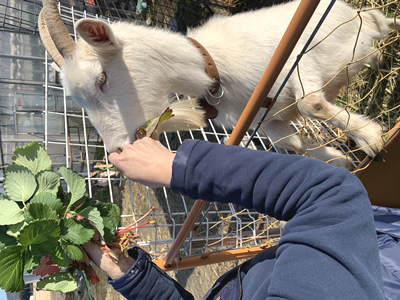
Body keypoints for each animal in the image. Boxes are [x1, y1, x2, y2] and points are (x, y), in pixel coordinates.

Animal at [39, 0, 396, 166]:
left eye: (101, 78)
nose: (116, 151)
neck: (215, 67)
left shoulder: (297, 56)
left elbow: (312, 102)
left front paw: (370, 138)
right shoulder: (268, 117)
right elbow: (291, 143)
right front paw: (341, 160)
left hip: (362, 23)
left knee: (383, 20)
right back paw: (381, 60)